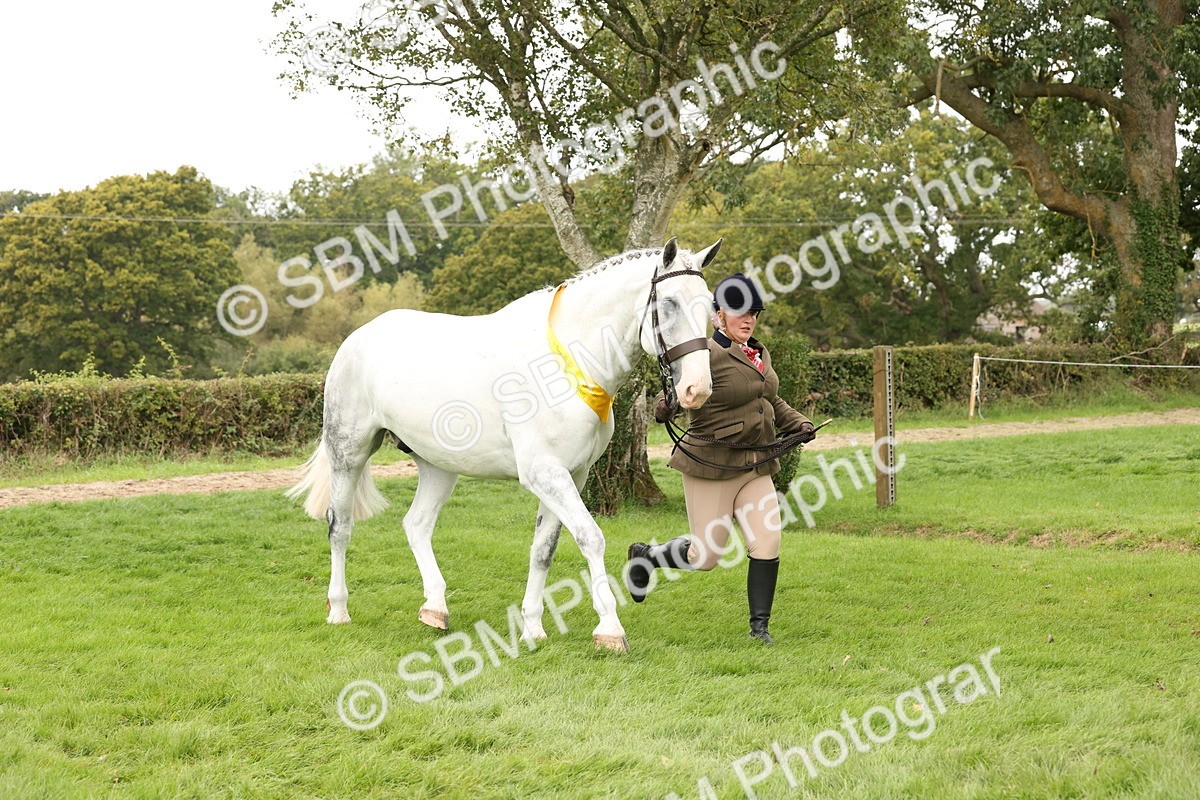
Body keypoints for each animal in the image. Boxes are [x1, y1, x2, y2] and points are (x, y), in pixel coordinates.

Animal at [287, 237, 722, 651]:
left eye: (709, 306)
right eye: (669, 303)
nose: (696, 390)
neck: (565, 364)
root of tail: (357, 339)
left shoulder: (572, 475)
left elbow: (543, 549)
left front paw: (532, 627)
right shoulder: (545, 473)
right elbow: (590, 537)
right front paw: (610, 630)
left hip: (438, 465)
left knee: (417, 524)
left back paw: (435, 609)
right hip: (349, 452)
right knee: (340, 526)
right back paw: (339, 609)